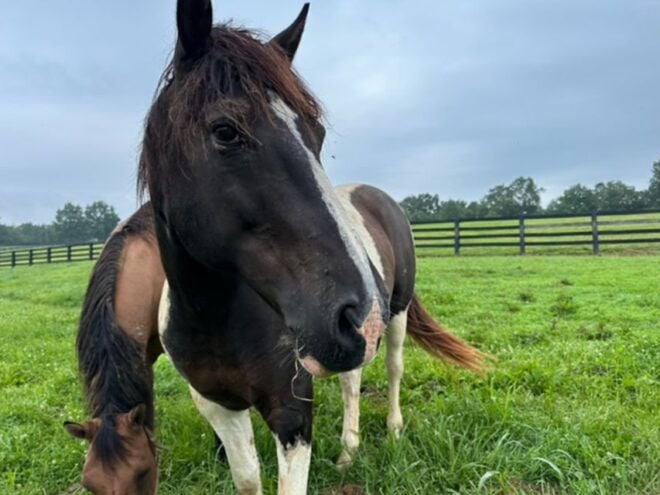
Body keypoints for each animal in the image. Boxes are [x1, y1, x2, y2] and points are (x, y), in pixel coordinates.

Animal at [65, 2, 485, 493]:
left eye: (317, 133)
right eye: (226, 131)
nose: (358, 315)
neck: (218, 316)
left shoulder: (291, 409)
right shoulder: (220, 403)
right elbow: (246, 477)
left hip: (394, 314)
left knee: (393, 367)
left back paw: (391, 432)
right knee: (353, 380)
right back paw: (348, 450)